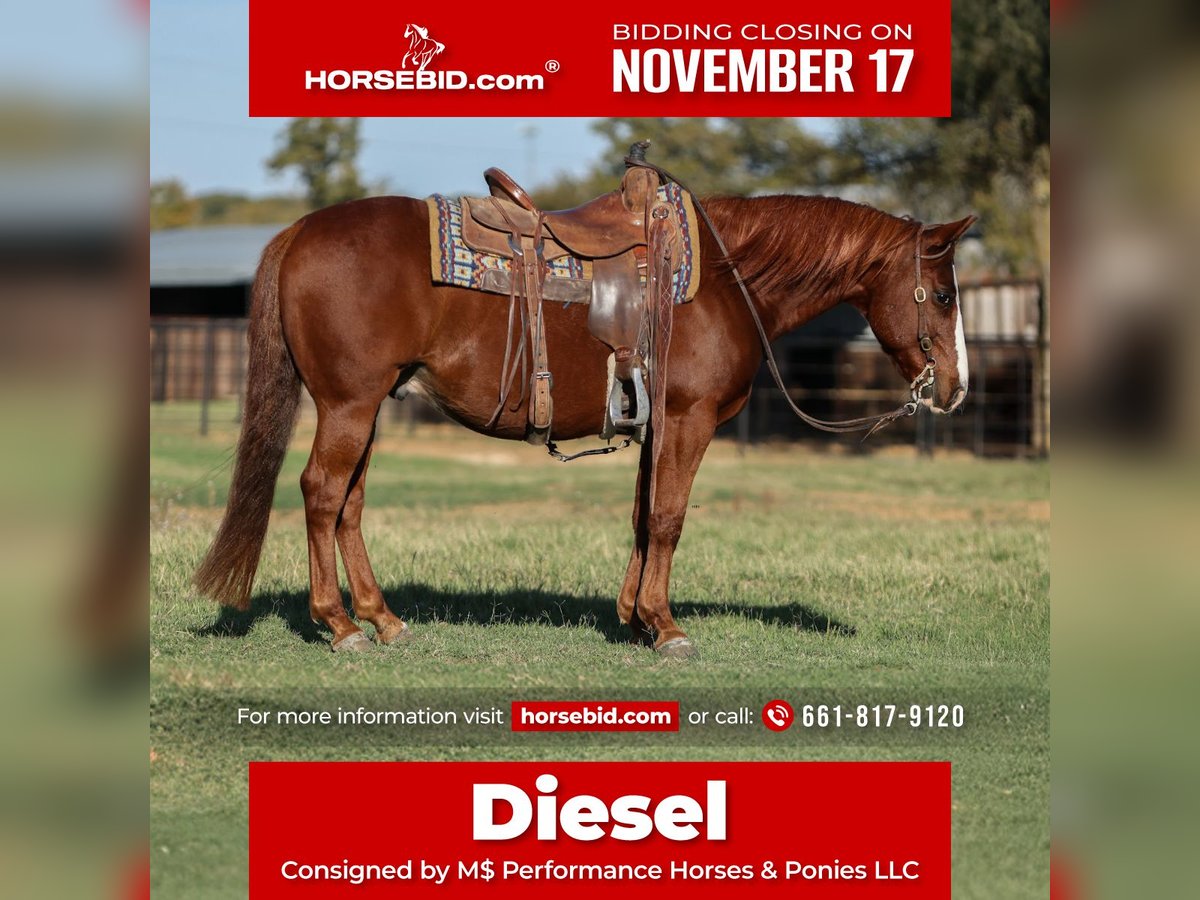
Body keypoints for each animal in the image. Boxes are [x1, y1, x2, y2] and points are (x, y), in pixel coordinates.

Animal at [193, 190, 975, 657]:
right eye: (941, 294)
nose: (957, 389)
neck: (726, 280)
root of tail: (300, 230)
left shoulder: (658, 426)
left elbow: (643, 516)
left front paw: (633, 616)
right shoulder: (688, 421)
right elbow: (669, 518)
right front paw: (666, 626)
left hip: (366, 406)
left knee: (348, 502)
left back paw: (381, 618)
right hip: (349, 404)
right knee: (323, 493)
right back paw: (340, 624)